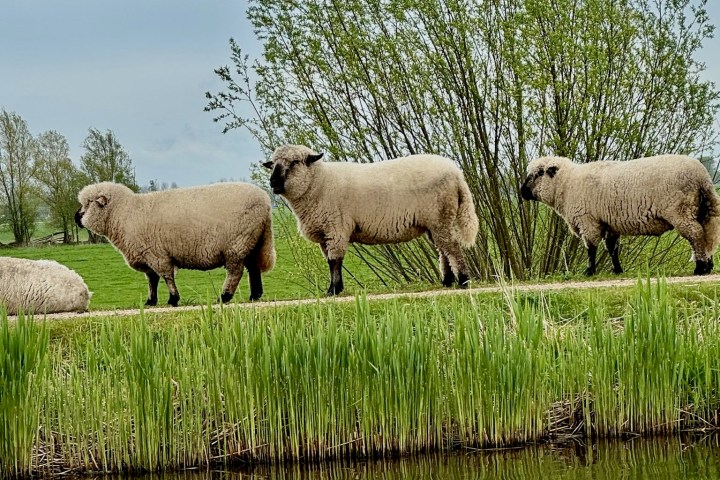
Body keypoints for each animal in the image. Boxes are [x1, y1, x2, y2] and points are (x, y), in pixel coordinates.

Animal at [75, 181, 275, 306]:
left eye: (88, 203)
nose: (76, 217)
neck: (124, 214)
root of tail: (265, 202)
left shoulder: (156, 254)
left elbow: (166, 277)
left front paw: (173, 299)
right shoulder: (147, 255)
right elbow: (152, 280)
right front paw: (151, 301)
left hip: (236, 244)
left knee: (236, 272)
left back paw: (224, 297)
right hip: (251, 241)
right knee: (253, 269)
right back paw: (254, 295)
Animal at [262, 144, 479, 295]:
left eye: (294, 162)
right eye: (272, 164)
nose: (273, 182)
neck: (318, 183)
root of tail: (457, 174)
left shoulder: (335, 229)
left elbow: (335, 261)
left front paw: (334, 290)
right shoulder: (325, 233)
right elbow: (330, 262)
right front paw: (334, 288)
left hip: (440, 216)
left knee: (452, 247)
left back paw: (463, 281)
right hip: (435, 223)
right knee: (444, 250)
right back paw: (447, 282)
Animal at [520, 154, 720, 276]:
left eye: (538, 173)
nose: (521, 191)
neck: (567, 184)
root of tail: (702, 177)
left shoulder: (588, 221)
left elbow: (591, 248)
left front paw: (589, 271)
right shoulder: (609, 223)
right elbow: (612, 248)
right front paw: (617, 269)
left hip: (680, 211)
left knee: (696, 234)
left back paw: (700, 268)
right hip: (700, 209)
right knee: (706, 234)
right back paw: (708, 265)